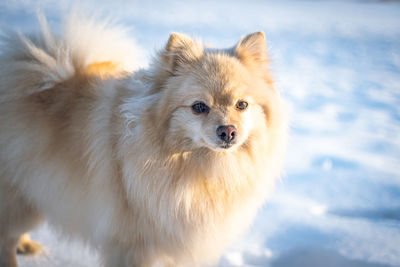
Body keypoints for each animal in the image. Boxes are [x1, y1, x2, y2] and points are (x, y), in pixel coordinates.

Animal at [0, 15, 288, 267]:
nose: (228, 131)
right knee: (5, 239)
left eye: (242, 105)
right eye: (199, 107)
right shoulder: (132, 245)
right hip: (20, 199)